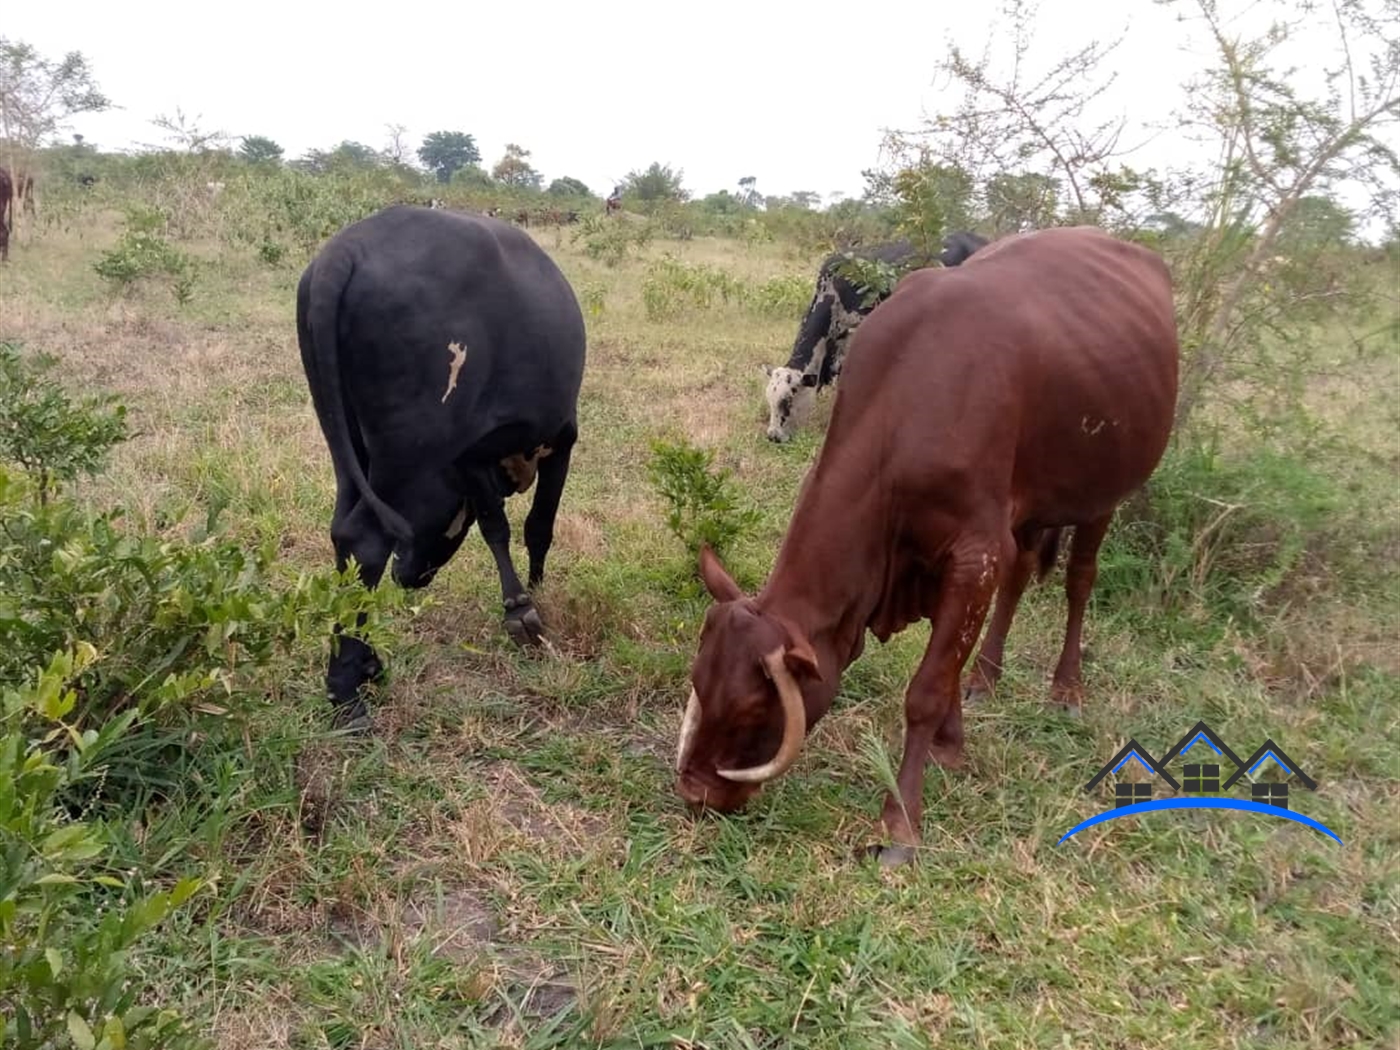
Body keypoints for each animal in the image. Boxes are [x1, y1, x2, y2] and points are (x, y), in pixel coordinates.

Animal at [295, 207, 585, 733]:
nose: (407, 577)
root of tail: (345, 250)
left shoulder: (467, 457)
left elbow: (495, 526)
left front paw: (519, 603)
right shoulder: (560, 437)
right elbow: (538, 526)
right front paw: (531, 601)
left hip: (348, 444)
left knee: (343, 533)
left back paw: (364, 662)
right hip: (407, 449)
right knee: (364, 540)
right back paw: (347, 692)